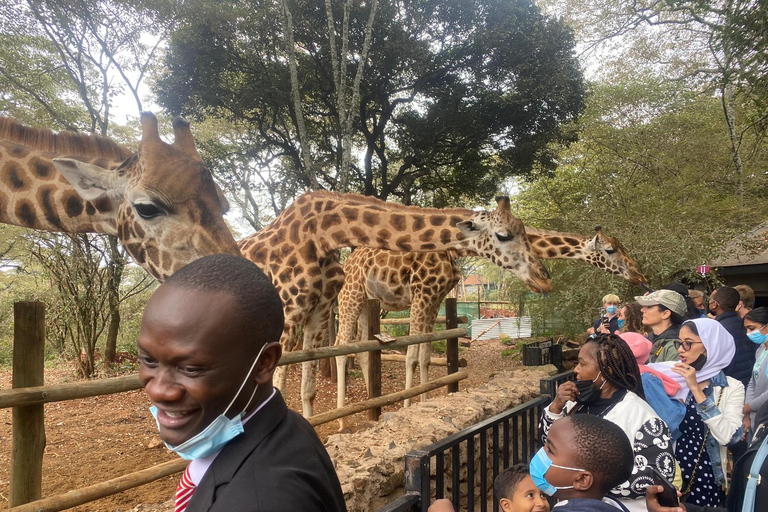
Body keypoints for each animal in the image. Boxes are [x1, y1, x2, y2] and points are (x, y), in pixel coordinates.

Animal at [336, 224, 648, 428]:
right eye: (610, 250)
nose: (639, 275)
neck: (458, 250)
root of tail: (348, 261)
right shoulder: (422, 293)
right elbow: (412, 354)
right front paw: (407, 407)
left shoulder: (435, 298)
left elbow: (424, 355)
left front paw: (421, 403)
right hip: (351, 293)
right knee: (340, 345)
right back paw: (340, 420)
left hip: (368, 300)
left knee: (361, 349)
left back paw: (370, 405)